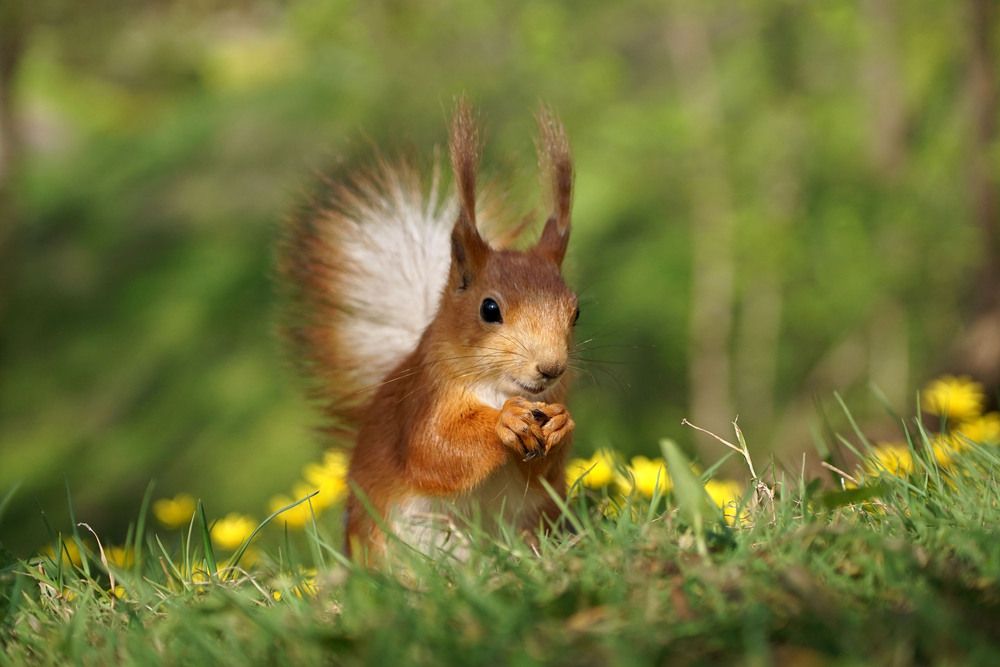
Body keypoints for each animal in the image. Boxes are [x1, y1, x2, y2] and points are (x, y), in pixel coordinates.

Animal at [279, 102, 578, 563]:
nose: (551, 368)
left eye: (575, 312)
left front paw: (562, 423)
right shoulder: (421, 401)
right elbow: (433, 451)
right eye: (489, 309)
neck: (496, 389)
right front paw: (504, 423)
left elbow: (543, 471)